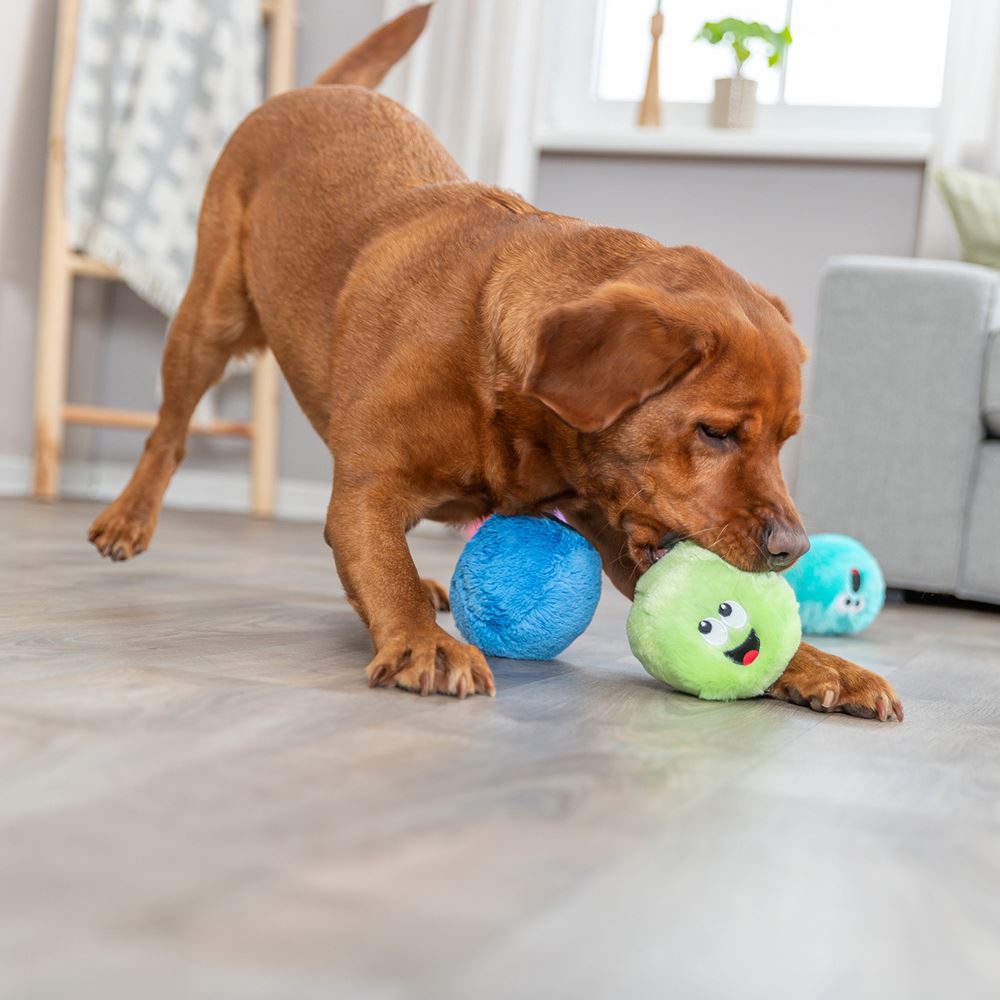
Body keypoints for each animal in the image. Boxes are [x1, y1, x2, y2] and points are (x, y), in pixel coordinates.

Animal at [84, 1, 900, 720]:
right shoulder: (367, 490)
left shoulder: (613, 525)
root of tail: (319, 89)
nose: (794, 548)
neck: (501, 382)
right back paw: (129, 518)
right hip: (209, 318)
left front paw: (821, 664)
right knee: (170, 428)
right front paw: (424, 642)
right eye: (717, 433)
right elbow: (385, 570)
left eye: (786, 440)